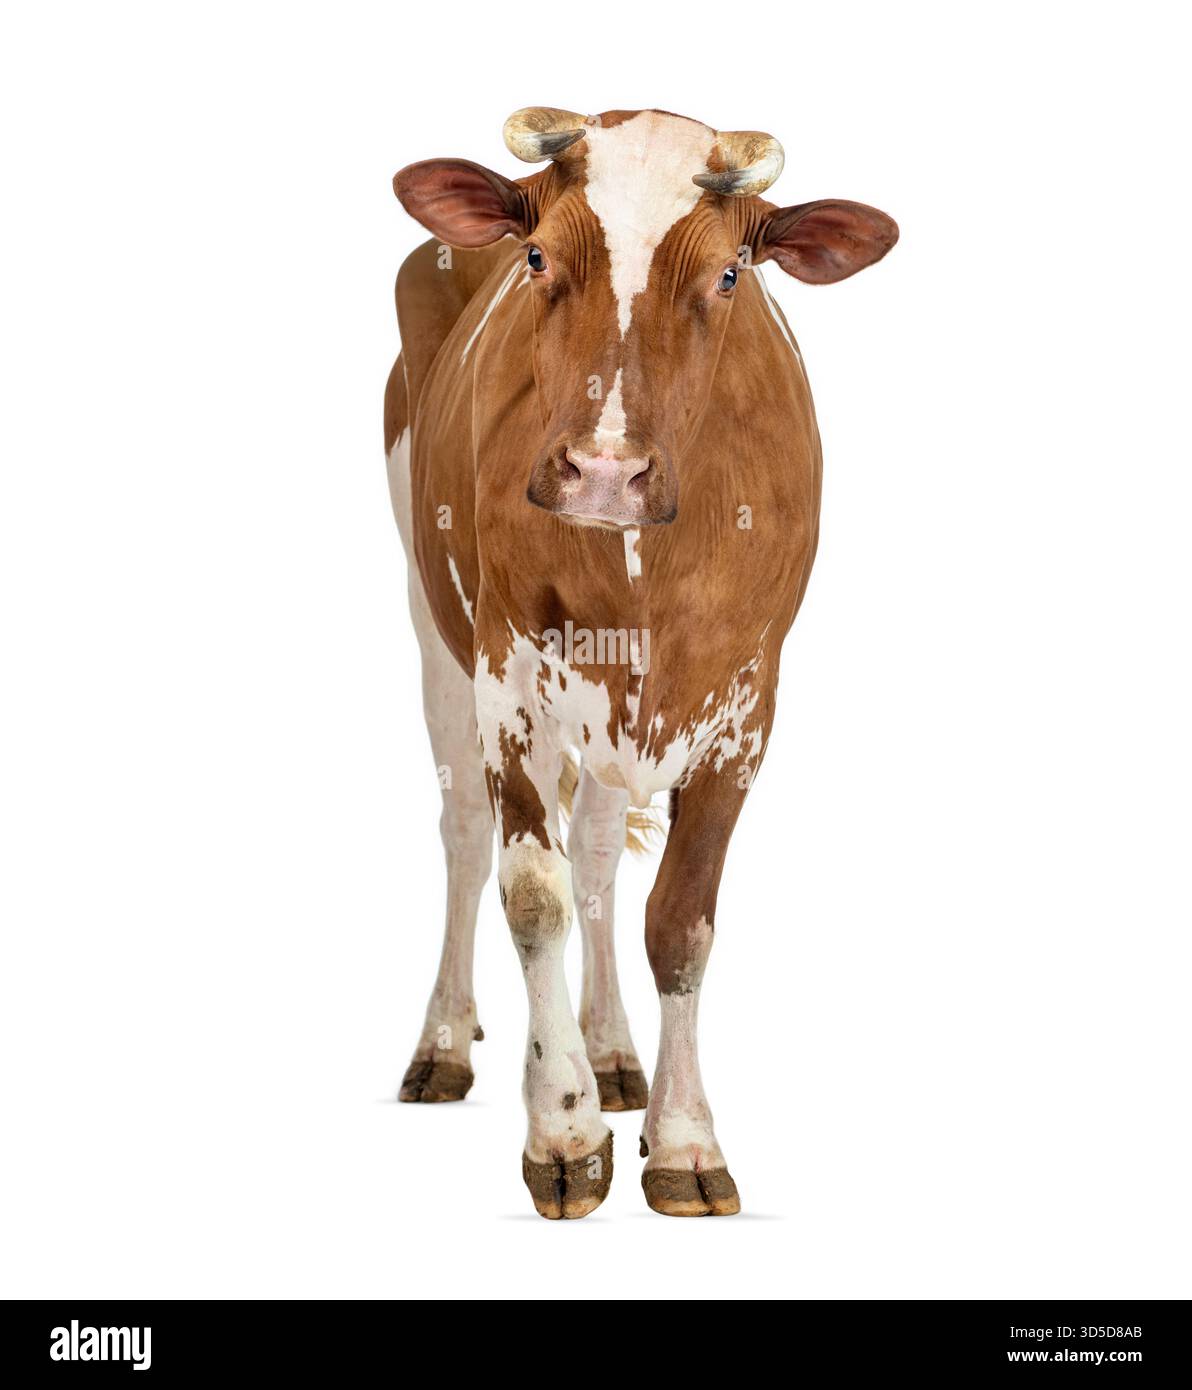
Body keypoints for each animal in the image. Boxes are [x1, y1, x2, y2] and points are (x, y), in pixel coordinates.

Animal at [383, 107, 897, 1218]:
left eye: (730, 275)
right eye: (537, 254)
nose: (604, 474)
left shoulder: (747, 696)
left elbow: (680, 919)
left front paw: (682, 1139)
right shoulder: (509, 673)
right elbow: (528, 890)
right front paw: (564, 1133)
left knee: (595, 854)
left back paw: (614, 1050)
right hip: (431, 616)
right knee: (465, 834)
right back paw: (447, 1041)